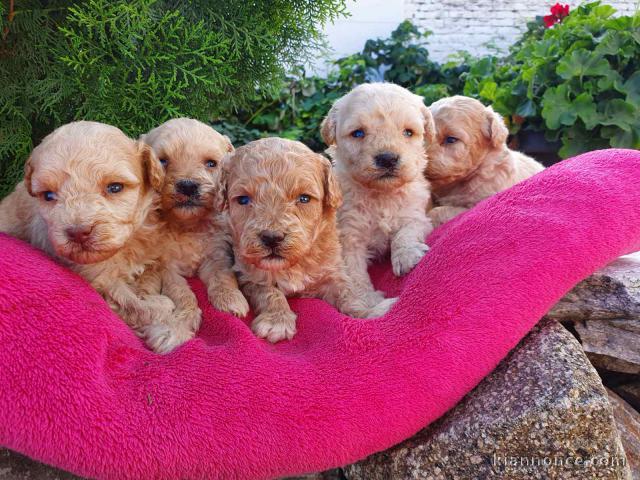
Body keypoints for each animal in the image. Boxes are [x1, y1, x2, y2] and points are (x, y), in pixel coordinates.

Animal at [0, 119, 178, 342]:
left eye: (115, 187)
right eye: (48, 195)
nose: (78, 232)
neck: (126, 246)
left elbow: (148, 275)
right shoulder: (99, 279)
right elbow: (130, 303)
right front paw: (160, 307)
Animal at [140, 118, 250, 352]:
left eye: (211, 163)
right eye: (163, 161)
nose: (188, 185)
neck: (188, 225)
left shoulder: (216, 254)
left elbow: (223, 277)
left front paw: (231, 299)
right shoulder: (167, 267)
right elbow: (183, 294)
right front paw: (176, 326)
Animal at [224, 137, 396, 344]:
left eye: (304, 198)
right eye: (243, 200)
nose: (272, 238)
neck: (294, 264)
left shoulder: (331, 272)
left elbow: (347, 291)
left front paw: (368, 310)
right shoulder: (249, 276)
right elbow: (269, 292)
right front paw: (277, 321)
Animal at [320, 81, 436, 304]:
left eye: (408, 132)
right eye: (358, 133)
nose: (388, 159)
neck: (382, 195)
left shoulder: (416, 215)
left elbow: (407, 232)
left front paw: (408, 256)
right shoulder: (348, 235)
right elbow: (354, 273)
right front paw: (367, 300)